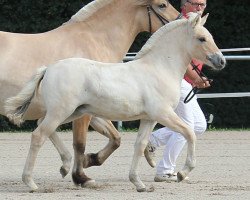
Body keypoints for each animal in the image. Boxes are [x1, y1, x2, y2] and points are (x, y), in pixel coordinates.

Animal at [5, 13, 227, 191]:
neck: (159, 68)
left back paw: (64, 167)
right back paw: (31, 183)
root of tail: (48, 68)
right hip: (61, 112)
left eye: (211, 37)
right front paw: (182, 173)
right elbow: (190, 133)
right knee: (38, 135)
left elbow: (140, 145)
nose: (221, 61)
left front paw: (139, 184)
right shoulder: (163, 114)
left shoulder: (149, 118)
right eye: (202, 38)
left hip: (72, 112)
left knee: (41, 127)